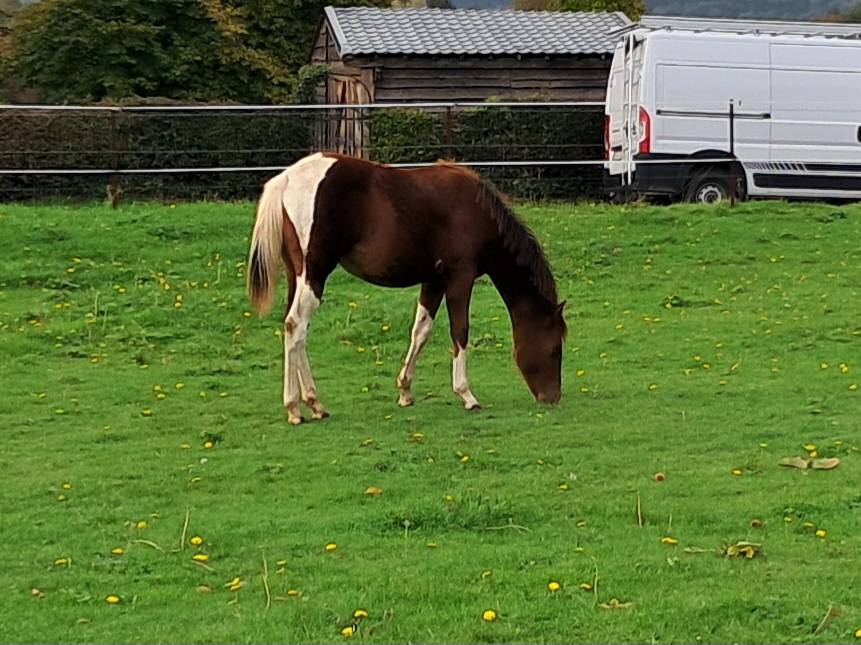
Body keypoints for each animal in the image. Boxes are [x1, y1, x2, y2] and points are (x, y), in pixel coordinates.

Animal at [247, 152, 566, 424]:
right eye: (554, 348)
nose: (551, 398)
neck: (476, 209)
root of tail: (287, 179)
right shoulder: (459, 278)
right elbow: (460, 331)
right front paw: (466, 394)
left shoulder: (433, 281)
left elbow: (420, 331)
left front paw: (405, 391)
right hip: (315, 274)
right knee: (296, 325)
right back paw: (298, 406)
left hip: (298, 276)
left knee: (295, 330)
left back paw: (312, 405)